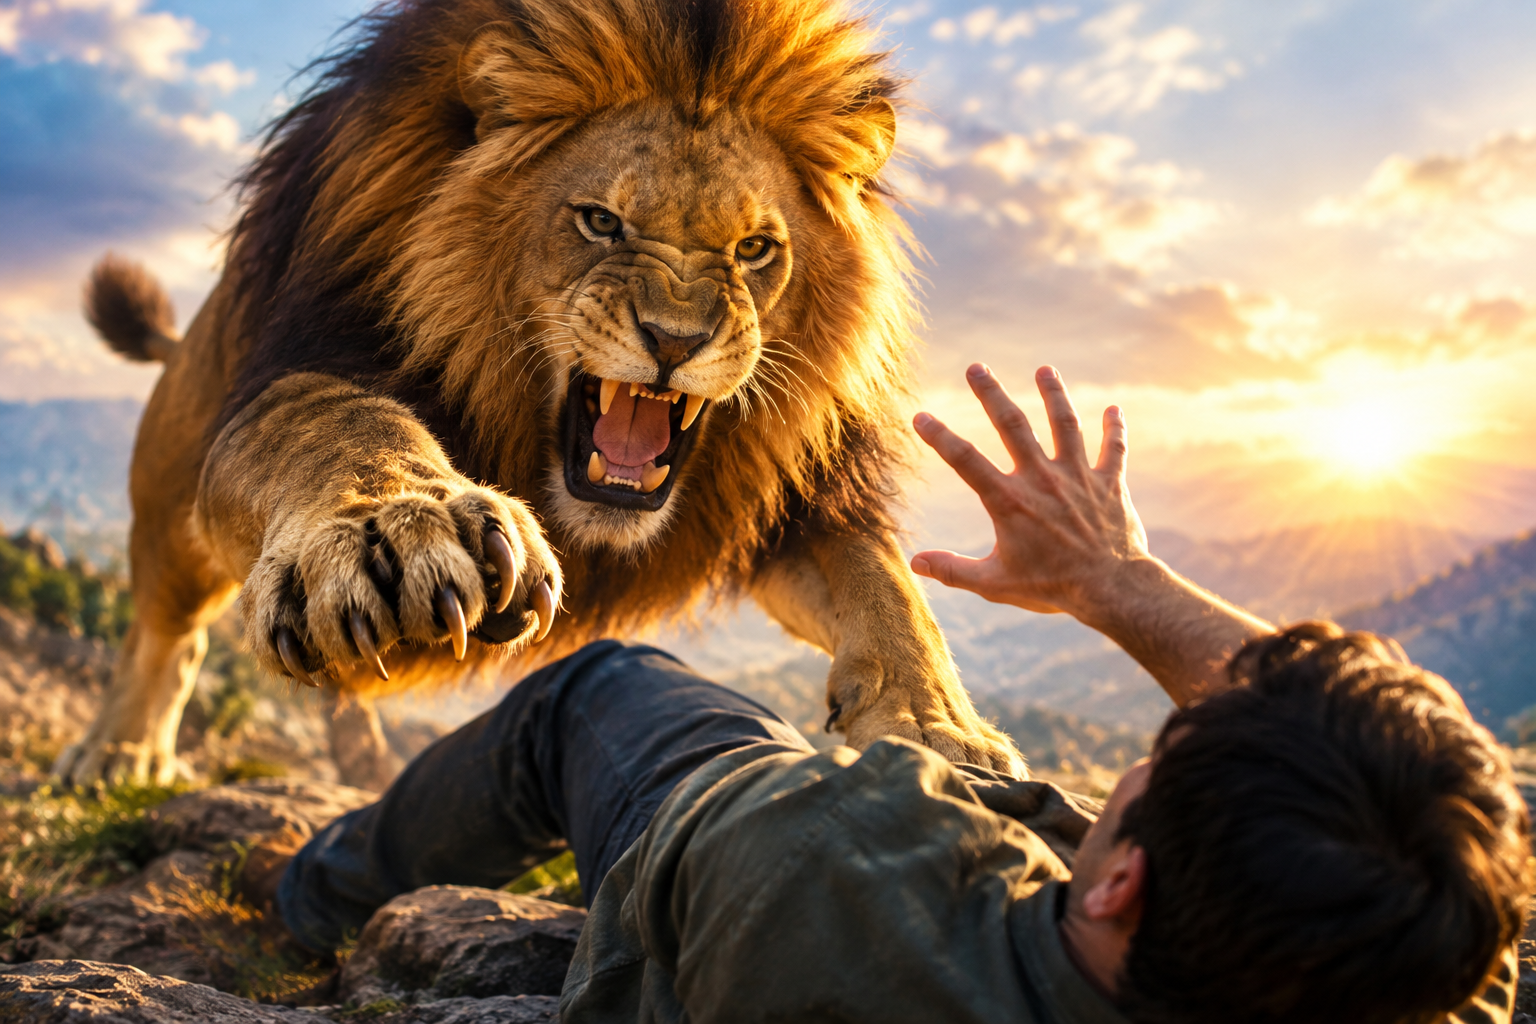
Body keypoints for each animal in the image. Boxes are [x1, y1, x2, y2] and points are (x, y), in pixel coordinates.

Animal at [55, 0, 1023, 785]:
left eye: (755, 250)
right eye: (600, 221)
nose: (677, 340)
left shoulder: (782, 502)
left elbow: (889, 588)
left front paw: (941, 728)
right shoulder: (306, 359)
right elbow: (338, 427)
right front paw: (396, 525)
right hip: (170, 495)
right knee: (165, 634)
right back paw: (118, 753)